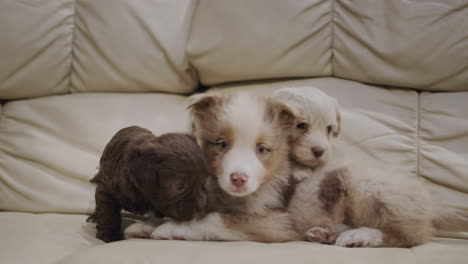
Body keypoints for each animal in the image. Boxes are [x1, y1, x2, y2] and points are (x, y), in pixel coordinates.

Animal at [124, 92, 300, 242]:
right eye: (222, 144)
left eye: (261, 149)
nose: (238, 179)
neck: (230, 197)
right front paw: (147, 225)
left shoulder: (278, 221)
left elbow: (216, 218)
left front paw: (174, 228)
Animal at [270, 87, 468, 248]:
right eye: (300, 126)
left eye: (329, 129)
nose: (319, 151)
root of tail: (433, 207)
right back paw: (327, 234)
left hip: (363, 185)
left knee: (406, 237)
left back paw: (359, 236)